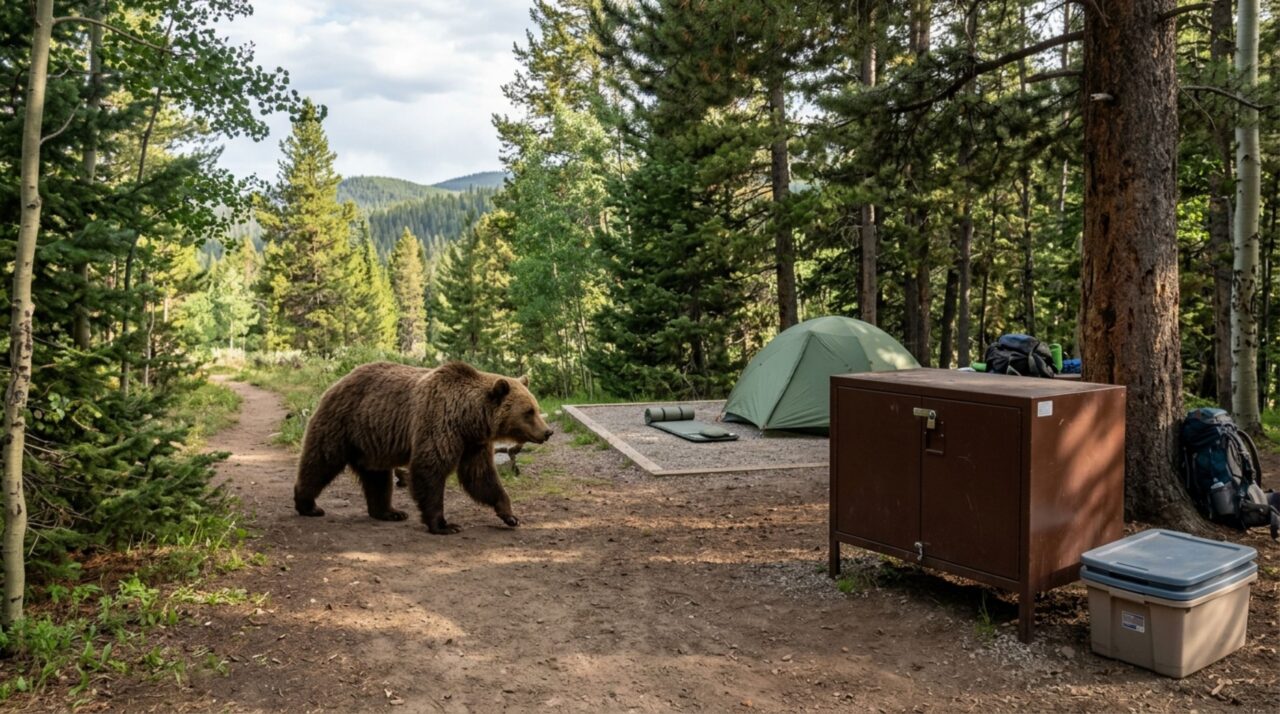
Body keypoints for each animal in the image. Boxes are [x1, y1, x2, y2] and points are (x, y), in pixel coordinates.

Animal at [292, 360, 554, 534]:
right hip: (343, 424)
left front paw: (510, 515)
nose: (547, 432)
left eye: (536, 407)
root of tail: (339, 381)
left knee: (377, 478)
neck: (468, 419)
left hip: (372, 441)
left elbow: (481, 477)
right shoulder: (439, 424)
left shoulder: (473, 443)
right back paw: (308, 505)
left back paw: (390, 512)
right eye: (528, 411)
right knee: (321, 462)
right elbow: (430, 470)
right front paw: (444, 524)